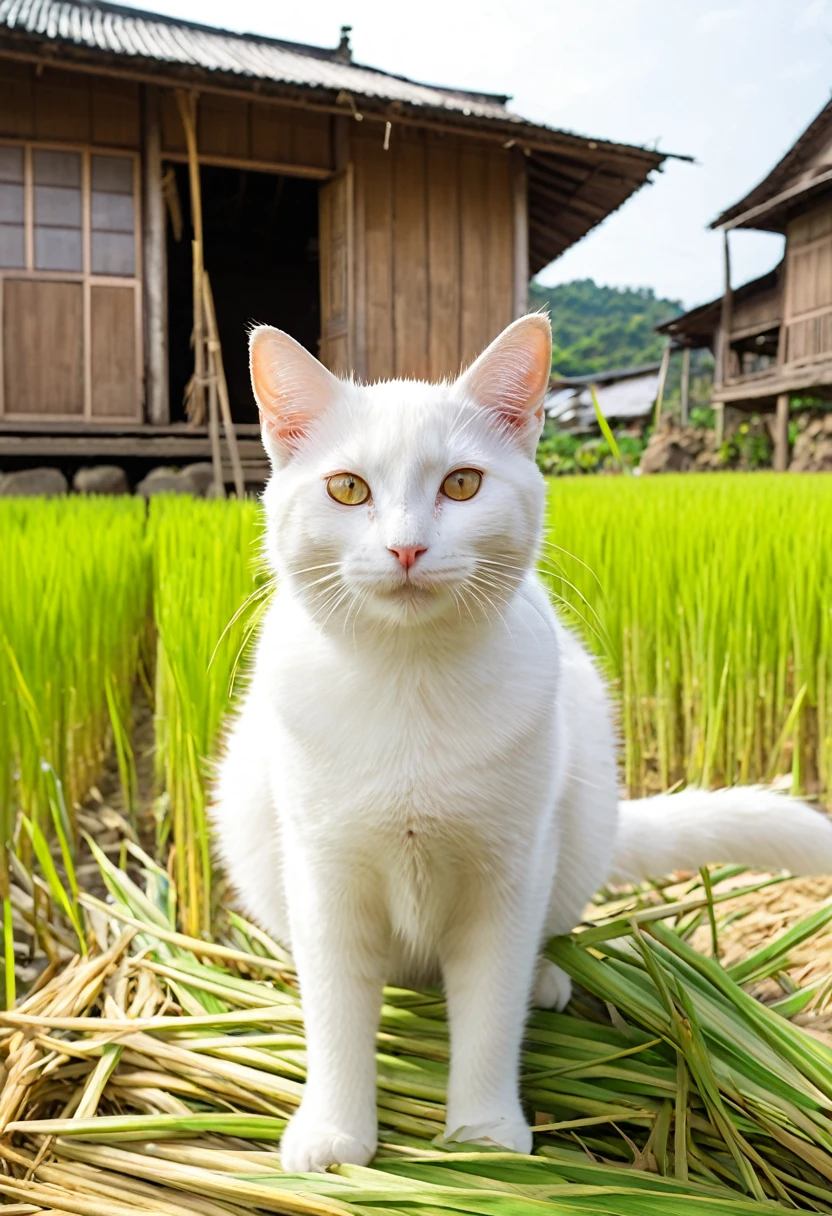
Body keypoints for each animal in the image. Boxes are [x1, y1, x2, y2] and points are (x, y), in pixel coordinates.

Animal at [211, 318, 832, 1172]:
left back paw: (546, 981)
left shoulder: (509, 868)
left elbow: (490, 1009)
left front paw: (483, 1132)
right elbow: (335, 1008)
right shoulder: (323, 868)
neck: (410, 685)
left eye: (463, 485)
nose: (407, 548)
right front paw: (335, 1131)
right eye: (348, 490)